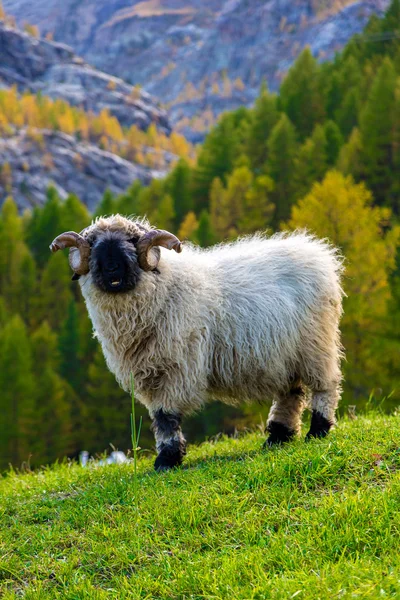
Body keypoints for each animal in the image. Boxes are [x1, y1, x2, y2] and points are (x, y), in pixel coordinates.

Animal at [50, 213, 344, 472]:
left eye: (132, 240)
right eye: (93, 243)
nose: (112, 268)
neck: (165, 288)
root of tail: (317, 252)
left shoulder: (176, 367)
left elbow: (166, 416)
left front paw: (167, 460)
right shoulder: (151, 371)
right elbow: (160, 417)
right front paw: (167, 459)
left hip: (316, 343)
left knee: (325, 385)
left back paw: (317, 431)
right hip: (284, 353)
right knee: (290, 394)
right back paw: (278, 438)